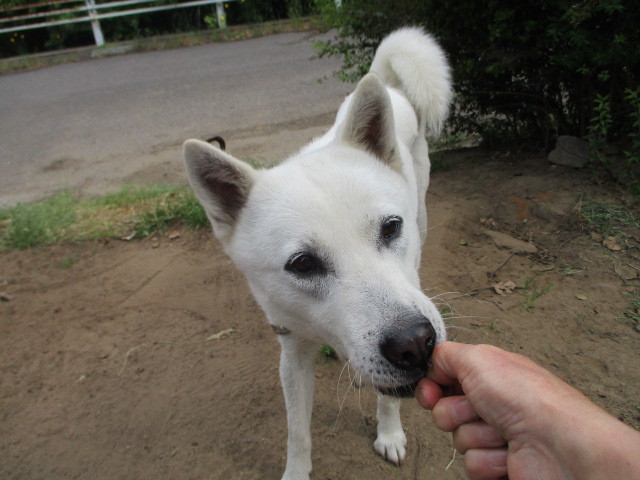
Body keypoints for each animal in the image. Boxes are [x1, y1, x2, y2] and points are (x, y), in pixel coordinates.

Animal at [185, 27, 452, 480]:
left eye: (390, 228)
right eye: (303, 264)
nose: (416, 344)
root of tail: (389, 87)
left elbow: (388, 396)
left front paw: (390, 433)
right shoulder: (291, 352)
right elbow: (298, 430)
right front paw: (296, 471)